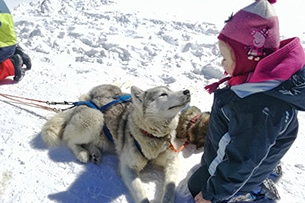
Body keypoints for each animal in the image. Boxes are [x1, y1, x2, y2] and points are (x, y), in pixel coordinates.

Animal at [39, 83, 189, 203]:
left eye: (171, 89)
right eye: (163, 94)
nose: (187, 91)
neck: (153, 136)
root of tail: (85, 101)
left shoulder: (172, 161)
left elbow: (170, 186)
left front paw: (167, 198)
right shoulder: (128, 167)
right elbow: (140, 190)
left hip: (107, 140)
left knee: (90, 143)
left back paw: (95, 153)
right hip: (95, 119)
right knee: (70, 140)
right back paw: (82, 153)